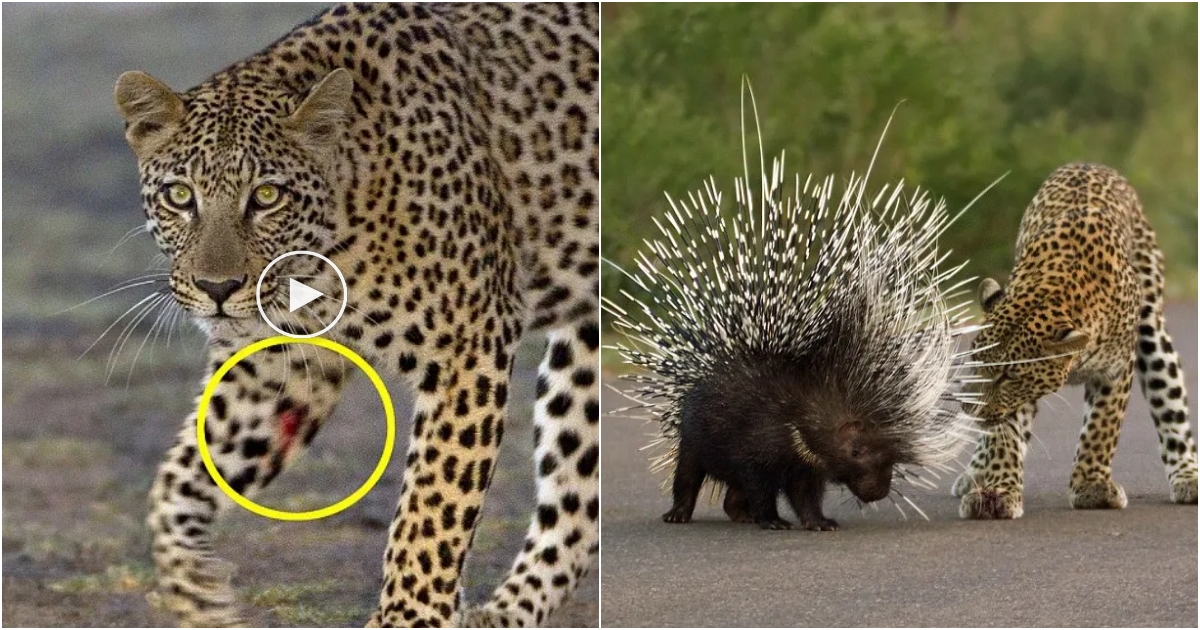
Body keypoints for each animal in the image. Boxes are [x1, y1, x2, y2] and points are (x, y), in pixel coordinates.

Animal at [113, 3, 600, 624]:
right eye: (180, 196)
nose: (216, 287)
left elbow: (433, 507)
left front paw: (409, 617)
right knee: (578, 497)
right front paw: (197, 592)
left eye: (267, 197)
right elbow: (178, 481)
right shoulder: (279, 363)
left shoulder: (470, 342)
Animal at [950, 162, 1195, 520]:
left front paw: (1092, 487)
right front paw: (997, 491)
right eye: (977, 363)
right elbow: (1003, 436)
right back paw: (975, 473)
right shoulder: (1013, 401)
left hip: (1151, 327)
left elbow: (1101, 428)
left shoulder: (1116, 369)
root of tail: (1091, 164)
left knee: (1170, 401)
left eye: (1009, 376)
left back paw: (1188, 475)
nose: (969, 408)